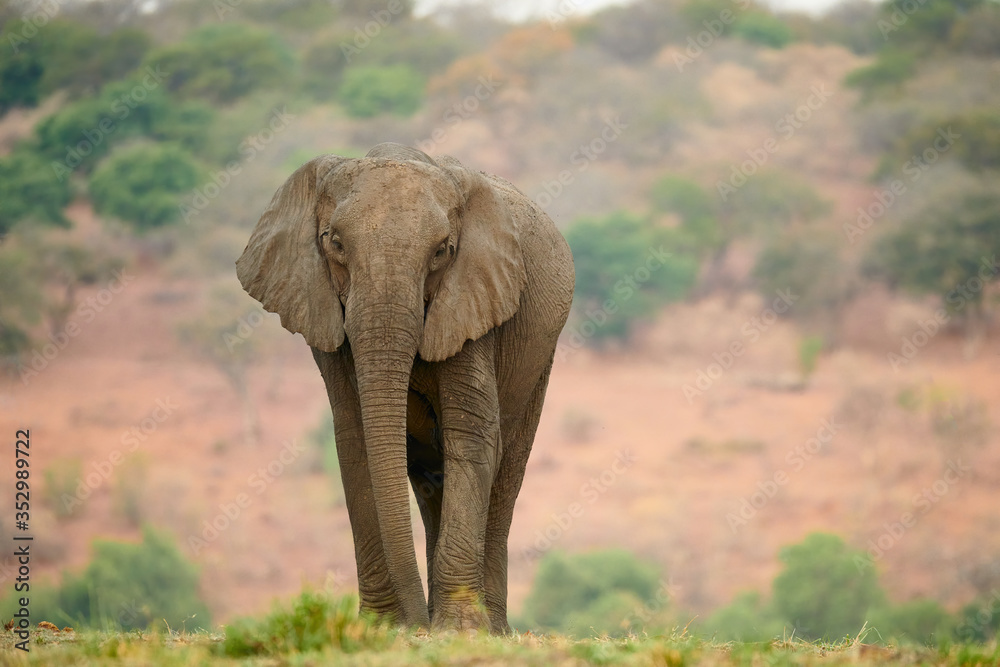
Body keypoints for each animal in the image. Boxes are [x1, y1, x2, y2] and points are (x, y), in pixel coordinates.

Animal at [236, 142, 574, 633]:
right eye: (334, 243)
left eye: (442, 251)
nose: (417, 627)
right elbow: (355, 440)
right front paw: (381, 627)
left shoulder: (473, 300)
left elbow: (471, 434)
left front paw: (459, 630)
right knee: (430, 481)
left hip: (539, 357)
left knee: (505, 472)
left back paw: (490, 628)